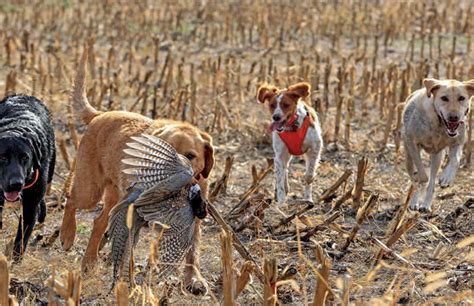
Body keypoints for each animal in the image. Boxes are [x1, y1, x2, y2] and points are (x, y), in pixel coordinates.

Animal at [0, 94, 55, 262]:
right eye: (2, 158)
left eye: (25, 157)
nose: (16, 184)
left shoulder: (31, 203)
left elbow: (22, 235)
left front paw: (15, 261)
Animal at [402, 77, 472, 212]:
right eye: (444, 98)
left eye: (461, 98)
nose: (454, 117)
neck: (439, 124)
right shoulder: (413, 145)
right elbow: (422, 176)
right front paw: (417, 196)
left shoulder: (458, 142)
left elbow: (455, 160)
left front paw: (446, 178)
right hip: (408, 158)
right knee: (414, 178)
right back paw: (415, 201)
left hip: (437, 157)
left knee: (432, 179)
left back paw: (426, 204)